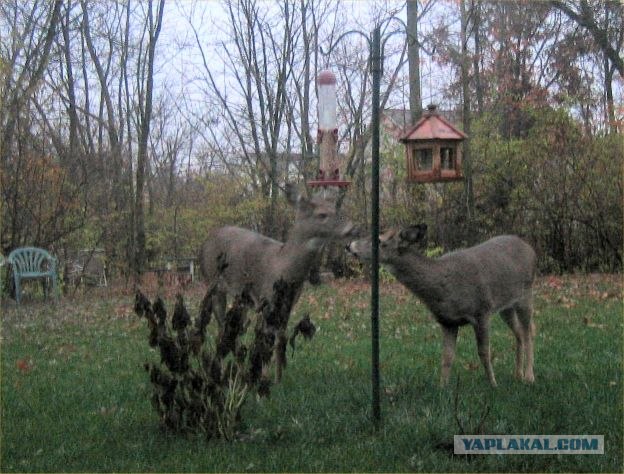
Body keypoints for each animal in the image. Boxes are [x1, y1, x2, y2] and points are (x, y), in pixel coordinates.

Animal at [201, 185, 354, 382]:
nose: (351, 229)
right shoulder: (265, 299)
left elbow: (281, 341)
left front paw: (279, 378)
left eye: (337, 209)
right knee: (223, 327)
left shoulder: (288, 303)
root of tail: (205, 242)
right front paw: (265, 377)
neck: (283, 267)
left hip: (240, 298)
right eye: (322, 214)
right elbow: (266, 341)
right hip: (213, 283)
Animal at [346, 224, 536, 386]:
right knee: (519, 332)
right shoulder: (447, 321)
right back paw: (517, 374)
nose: (349, 245)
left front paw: (493, 384)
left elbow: (483, 352)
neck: (444, 288)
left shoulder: (482, 310)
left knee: (528, 332)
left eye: (379, 240)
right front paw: (442, 387)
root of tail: (529, 247)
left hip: (526, 293)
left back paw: (529, 376)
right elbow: (447, 357)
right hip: (506, 306)